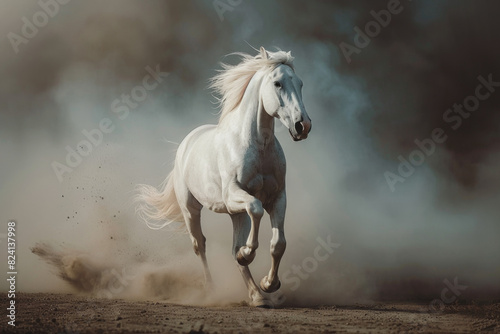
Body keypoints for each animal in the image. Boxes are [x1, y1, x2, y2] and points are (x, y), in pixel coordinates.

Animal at [135, 47, 310, 308]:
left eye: (300, 83)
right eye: (277, 83)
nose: (302, 126)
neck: (257, 146)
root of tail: (186, 143)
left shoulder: (278, 198)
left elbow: (278, 244)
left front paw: (269, 284)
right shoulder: (233, 196)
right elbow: (256, 210)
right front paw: (248, 255)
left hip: (236, 215)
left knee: (233, 247)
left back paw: (257, 295)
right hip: (191, 209)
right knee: (200, 244)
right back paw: (211, 289)